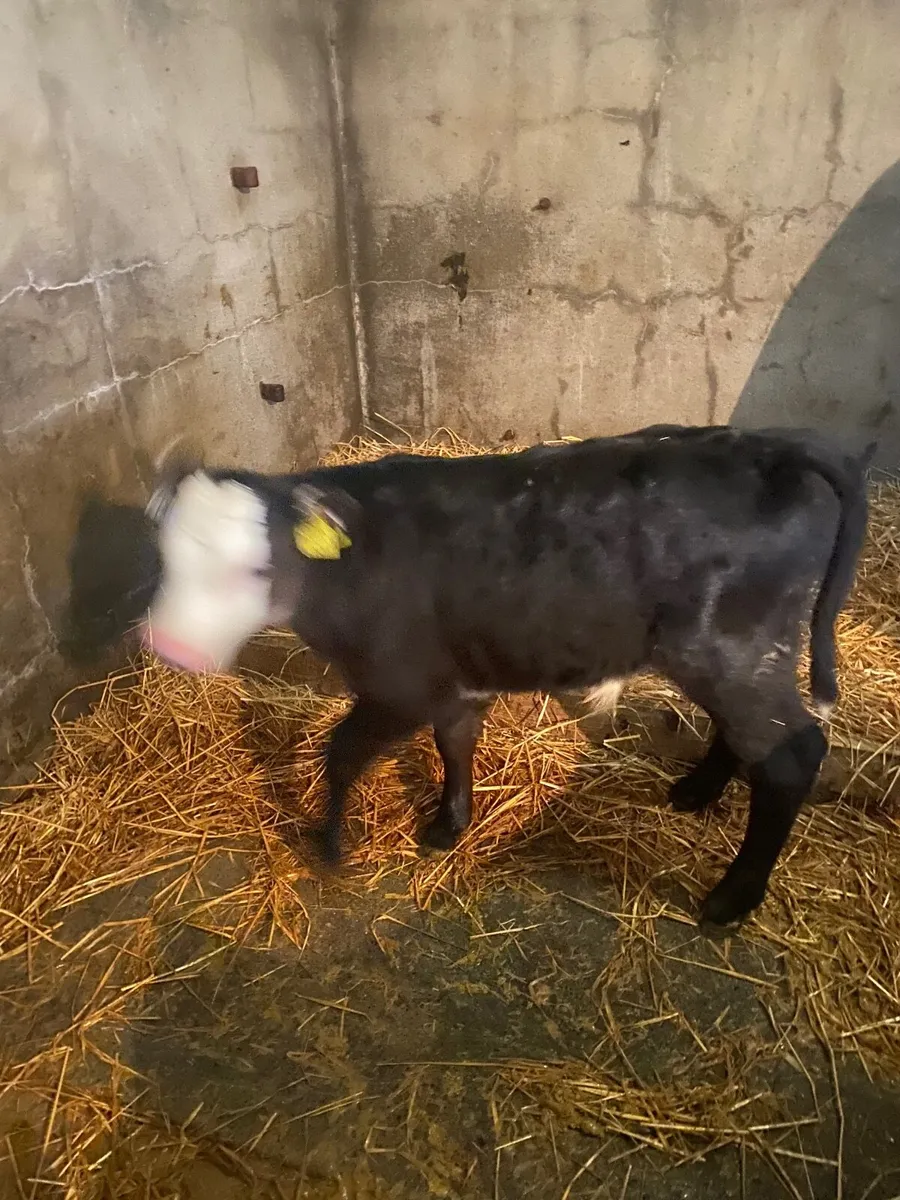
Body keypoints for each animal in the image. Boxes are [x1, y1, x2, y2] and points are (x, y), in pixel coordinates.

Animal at [139, 425, 873, 931]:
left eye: (253, 570)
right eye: (165, 559)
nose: (168, 645)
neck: (348, 567)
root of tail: (774, 445)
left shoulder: (400, 684)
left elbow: (342, 753)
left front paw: (331, 844)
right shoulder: (451, 678)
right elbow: (455, 741)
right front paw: (448, 825)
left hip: (731, 648)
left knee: (790, 755)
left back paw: (731, 899)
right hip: (732, 656)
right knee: (746, 735)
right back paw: (696, 790)